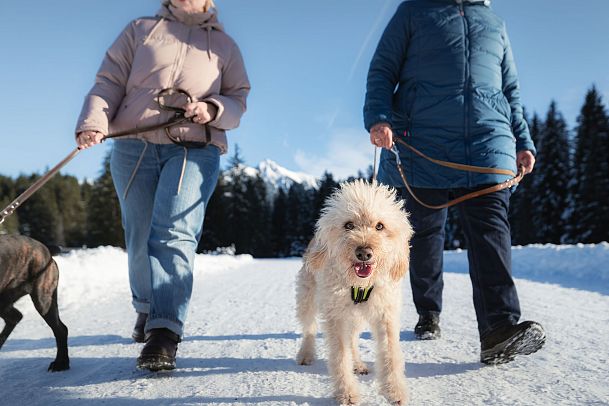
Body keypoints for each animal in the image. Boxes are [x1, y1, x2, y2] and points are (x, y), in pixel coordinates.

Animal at [296, 182, 414, 406]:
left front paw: (394, 391)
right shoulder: (336, 316)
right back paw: (305, 354)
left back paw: (358, 364)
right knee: (309, 328)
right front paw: (347, 393)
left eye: (380, 226)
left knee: (352, 339)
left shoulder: (385, 313)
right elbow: (340, 356)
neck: (359, 285)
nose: (364, 253)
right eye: (349, 225)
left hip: (356, 317)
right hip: (307, 298)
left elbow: (390, 352)